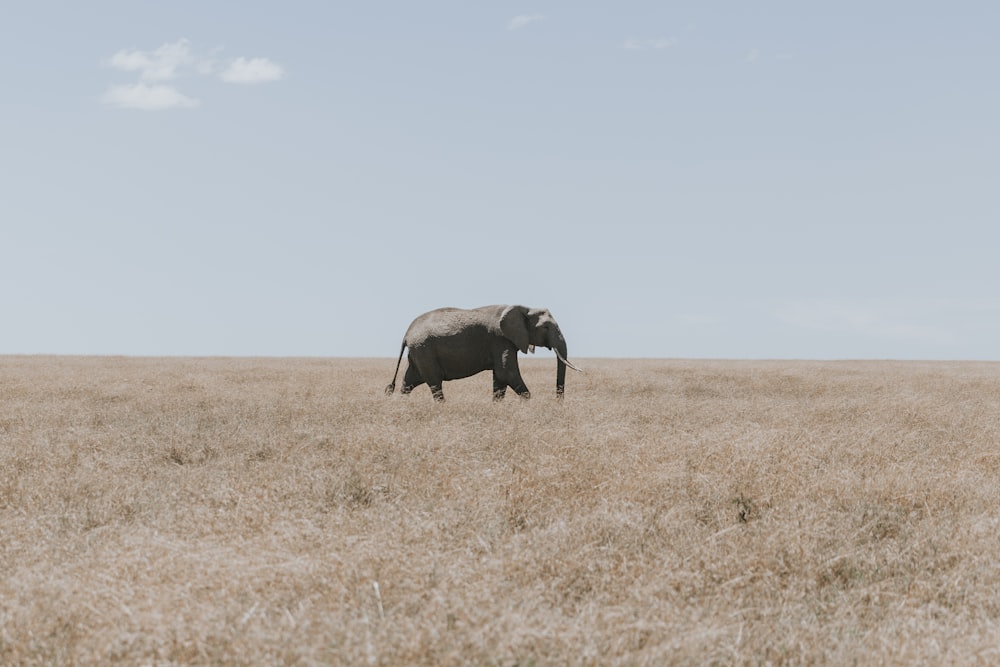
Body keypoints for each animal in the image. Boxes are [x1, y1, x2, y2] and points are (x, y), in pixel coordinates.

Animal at [386, 306, 584, 402]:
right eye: (546, 327)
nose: (558, 403)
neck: (523, 309)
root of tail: (407, 333)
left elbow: (500, 378)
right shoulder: (500, 339)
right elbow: (506, 373)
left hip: (419, 352)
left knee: (408, 382)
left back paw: (402, 405)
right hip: (424, 350)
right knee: (435, 384)